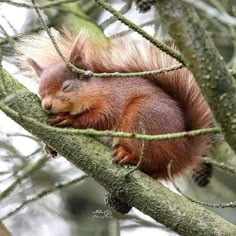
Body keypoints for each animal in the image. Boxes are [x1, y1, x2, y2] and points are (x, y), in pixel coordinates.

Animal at [18, 30, 214, 179]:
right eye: (40, 91)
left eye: (66, 87)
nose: (47, 106)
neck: (94, 90)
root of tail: (183, 153)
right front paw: (48, 146)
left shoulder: (112, 100)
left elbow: (101, 118)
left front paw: (68, 119)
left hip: (142, 118)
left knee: (151, 158)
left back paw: (129, 155)